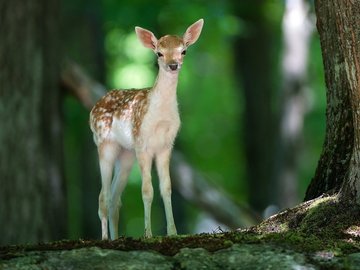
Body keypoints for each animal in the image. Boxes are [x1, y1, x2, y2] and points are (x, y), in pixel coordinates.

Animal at [89, 19, 204, 239]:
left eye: (183, 50)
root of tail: (93, 108)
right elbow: (147, 190)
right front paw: (148, 234)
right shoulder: (142, 144)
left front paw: (173, 232)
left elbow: (166, 188)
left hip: (126, 154)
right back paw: (105, 238)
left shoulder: (166, 146)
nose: (173, 65)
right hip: (105, 144)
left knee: (115, 199)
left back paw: (115, 238)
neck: (160, 118)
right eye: (159, 53)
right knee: (103, 196)